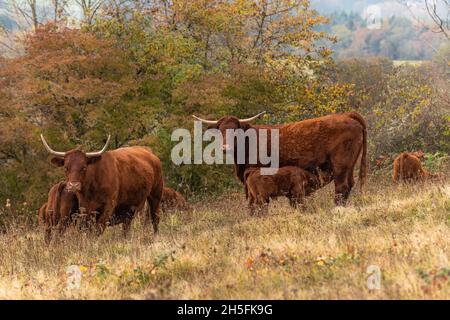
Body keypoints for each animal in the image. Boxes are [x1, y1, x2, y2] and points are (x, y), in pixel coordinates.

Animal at [192, 111, 366, 205]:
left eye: (236, 130)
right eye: (221, 130)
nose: (225, 147)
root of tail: (347, 115)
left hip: (340, 165)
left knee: (341, 188)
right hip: (348, 166)